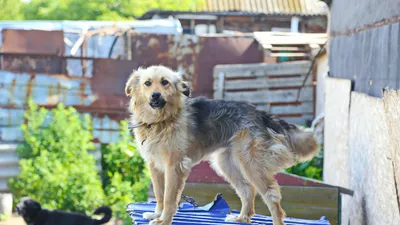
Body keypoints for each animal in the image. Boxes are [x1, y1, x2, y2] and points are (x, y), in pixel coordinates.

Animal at [125, 65, 318, 225]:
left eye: (165, 82)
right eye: (147, 83)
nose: (155, 95)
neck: (160, 121)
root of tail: (259, 112)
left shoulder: (175, 165)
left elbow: (169, 198)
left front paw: (163, 220)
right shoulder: (154, 165)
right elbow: (159, 194)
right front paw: (157, 214)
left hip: (251, 164)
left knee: (271, 196)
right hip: (226, 164)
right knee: (248, 190)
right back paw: (241, 218)